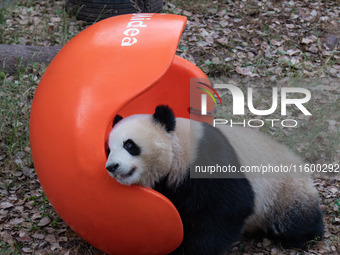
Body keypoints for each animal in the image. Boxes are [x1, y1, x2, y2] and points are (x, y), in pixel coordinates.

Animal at [105, 104, 324, 254]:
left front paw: (195, 249)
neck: (178, 147)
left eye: (129, 145)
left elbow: (231, 206)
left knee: (295, 218)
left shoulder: (206, 160)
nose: (111, 167)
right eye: (108, 149)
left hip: (283, 191)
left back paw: (305, 237)